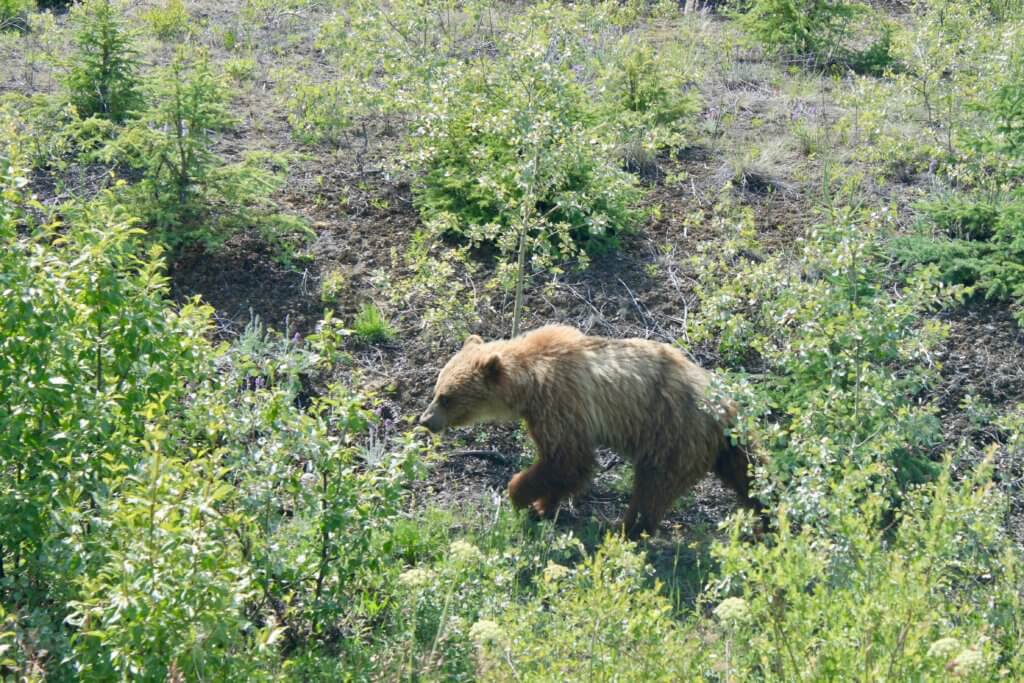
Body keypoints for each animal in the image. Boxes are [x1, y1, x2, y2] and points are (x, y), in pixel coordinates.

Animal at [415, 325, 761, 540]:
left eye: (446, 397)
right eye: (436, 389)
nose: (425, 420)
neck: (528, 385)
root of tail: (724, 407)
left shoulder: (561, 402)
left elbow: (566, 459)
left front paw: (519, 495)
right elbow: (566, 468)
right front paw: (544, 505)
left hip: (673, 432)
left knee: (653, 485)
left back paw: (625, 528)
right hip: (723, 444)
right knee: (748, 475)